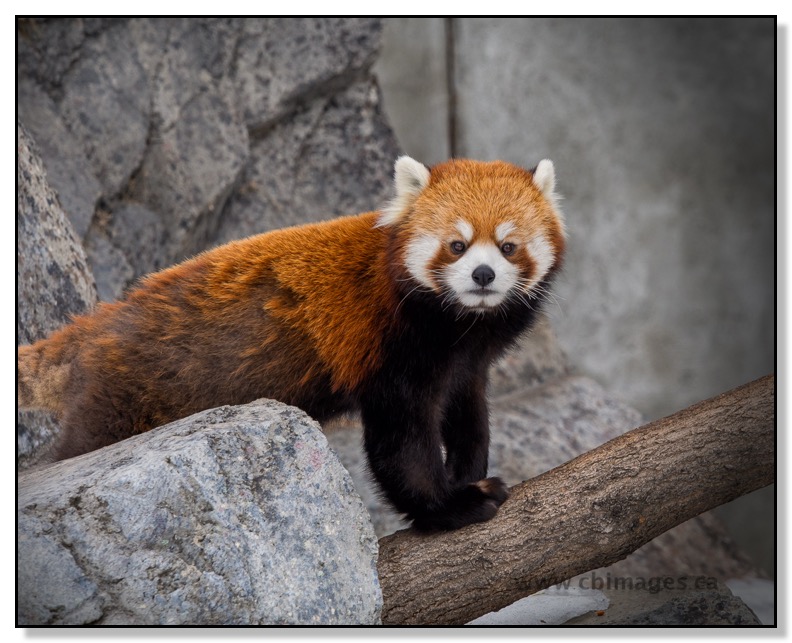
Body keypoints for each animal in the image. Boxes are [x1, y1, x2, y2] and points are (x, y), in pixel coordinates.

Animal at [17, 155, 564, 528]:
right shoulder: (387, 348)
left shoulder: (466, 362)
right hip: (125, 397)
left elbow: (468, 414)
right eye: (456, 244)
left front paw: (469, 473)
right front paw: (450, 505)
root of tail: (99, 323)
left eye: (508, 246)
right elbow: (402, 445)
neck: (460, 324)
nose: (482, 274)